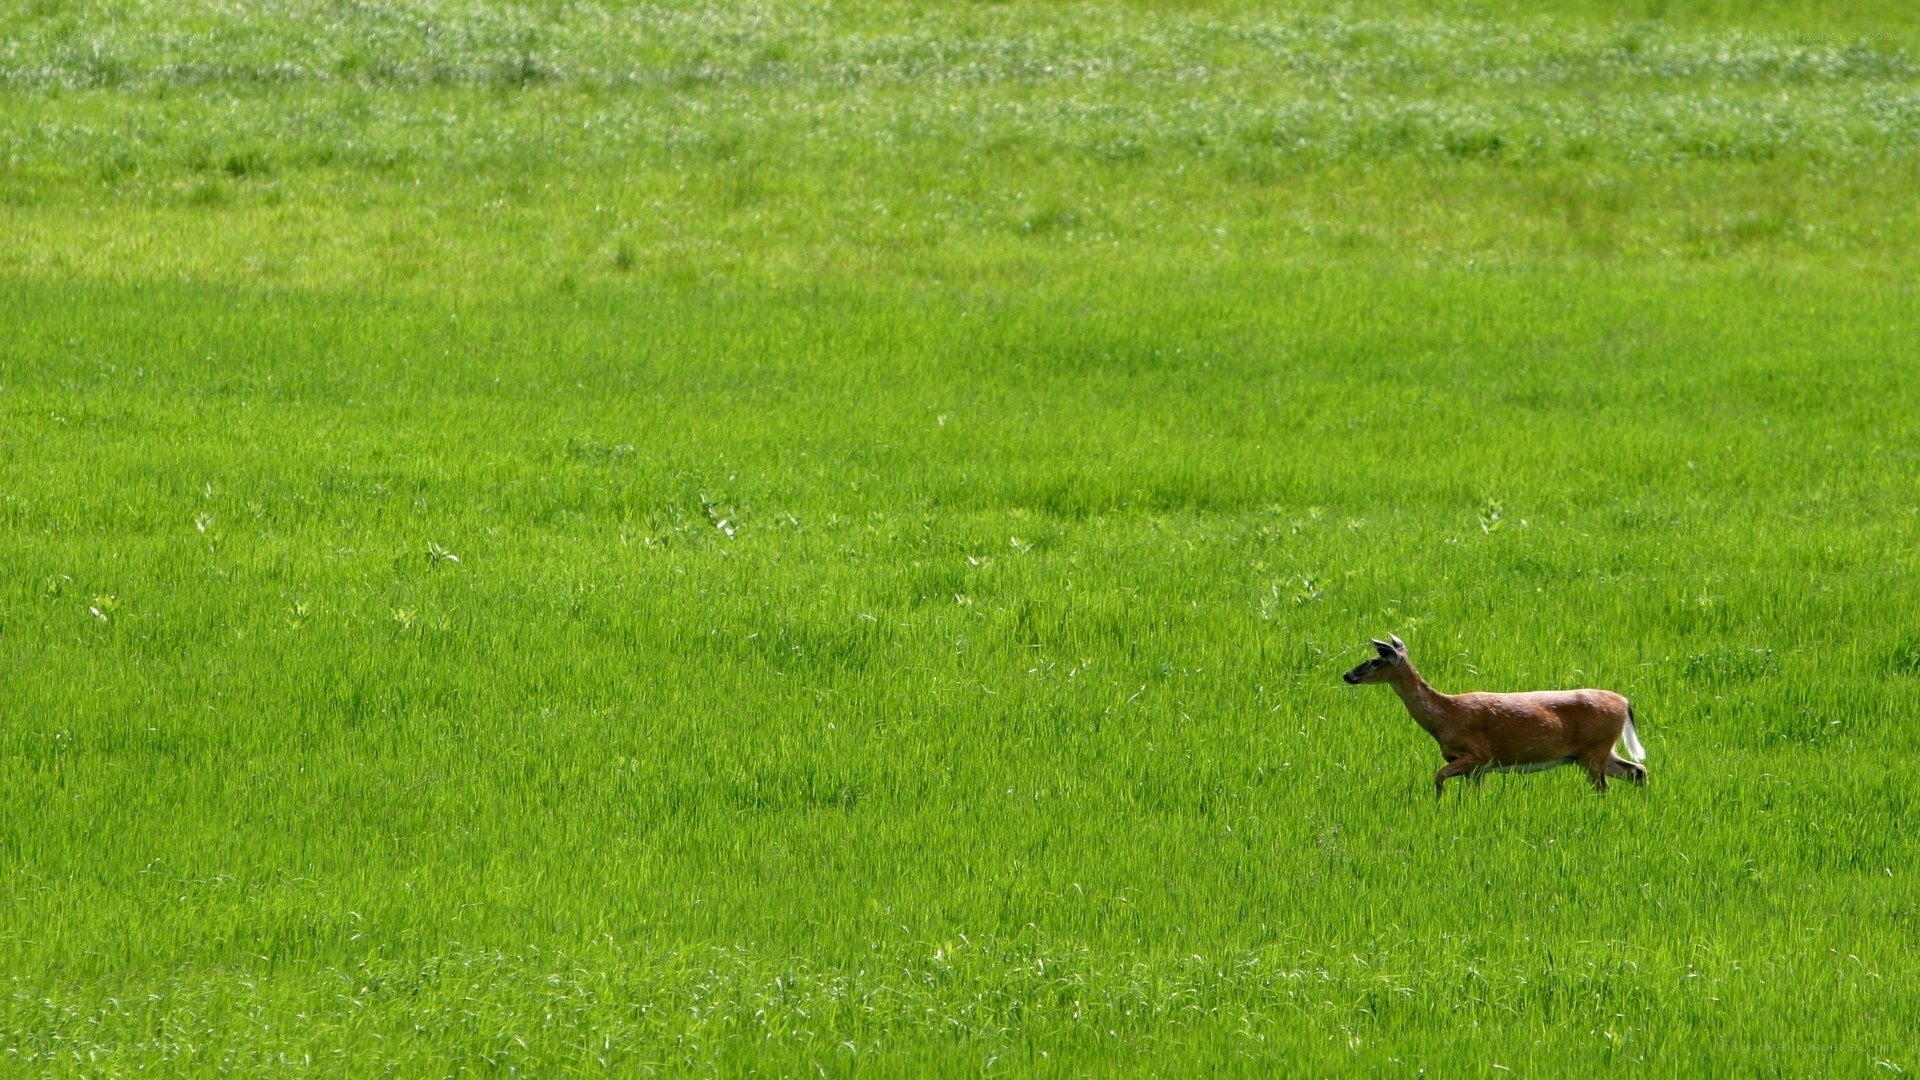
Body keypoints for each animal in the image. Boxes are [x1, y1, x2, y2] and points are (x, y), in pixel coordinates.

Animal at [1342, 635, 1647, 796]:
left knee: (1606, 786)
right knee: (1637, 770)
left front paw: (1438, 805)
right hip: (1595, 751)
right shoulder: (1476, 767)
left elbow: (1438, 777)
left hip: (1593, 750)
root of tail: (1624, 702)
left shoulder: (1478, 754)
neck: (1444, 717)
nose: (1347, 675)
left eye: (1376, 661)